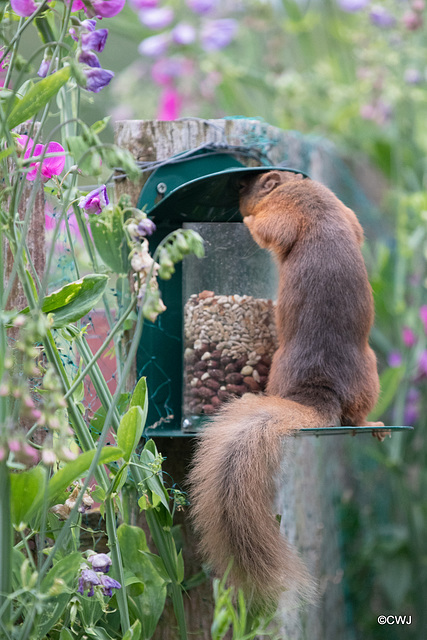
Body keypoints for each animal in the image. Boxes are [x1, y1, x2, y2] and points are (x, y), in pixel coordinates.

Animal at [189, 172, 382, 612]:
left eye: (252, 184)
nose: (236, 196)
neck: (310, 196)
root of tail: (320, 392)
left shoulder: (286, 215)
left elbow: (270, 231)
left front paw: (246, 223)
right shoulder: (347, 214)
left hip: (279, 365)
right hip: (371, 372)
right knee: (356, 415)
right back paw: (375, 424)